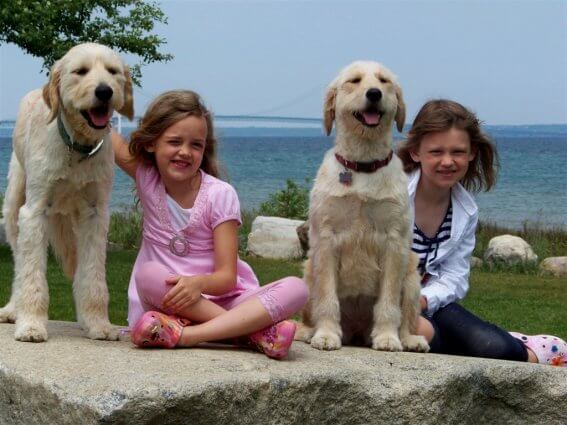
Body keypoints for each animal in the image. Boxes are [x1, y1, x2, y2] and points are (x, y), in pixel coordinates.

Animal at [0, 43, 133, 342]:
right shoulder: (34, 212)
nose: (104, 91)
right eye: (80, 71)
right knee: (19, 263)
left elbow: (93, 276)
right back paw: (13, 309)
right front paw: (31, 324)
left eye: (112, 71)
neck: (76, 148)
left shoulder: (95, 215)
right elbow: (31, 274)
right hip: (14, 207)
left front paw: (98, 324)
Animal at [298, 59, 430, 352]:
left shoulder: (394, 242)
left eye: (383, 81)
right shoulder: (326, 240)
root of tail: (357, 333)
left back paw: (409, 338)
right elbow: (327, 298)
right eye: (355, 81)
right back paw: (307, 331)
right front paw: (326, 334)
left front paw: (387, 337)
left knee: (407, 313)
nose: (374, 94)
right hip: (308, 272)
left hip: (412, 276)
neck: (362, 165)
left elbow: (389, 302)